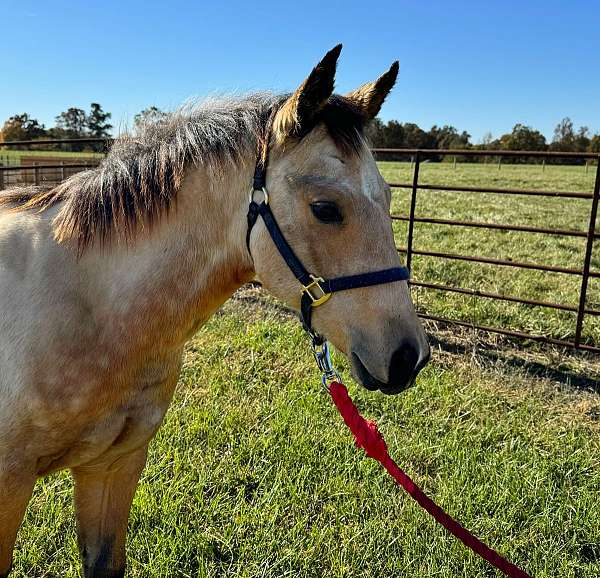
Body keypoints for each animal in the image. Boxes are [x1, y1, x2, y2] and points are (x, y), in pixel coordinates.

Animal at [1, 46, 432, 576]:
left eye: (388, 198)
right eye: (325, 208)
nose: (407, 356)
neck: (89, 305)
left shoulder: (113, 464)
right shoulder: (10, 484)